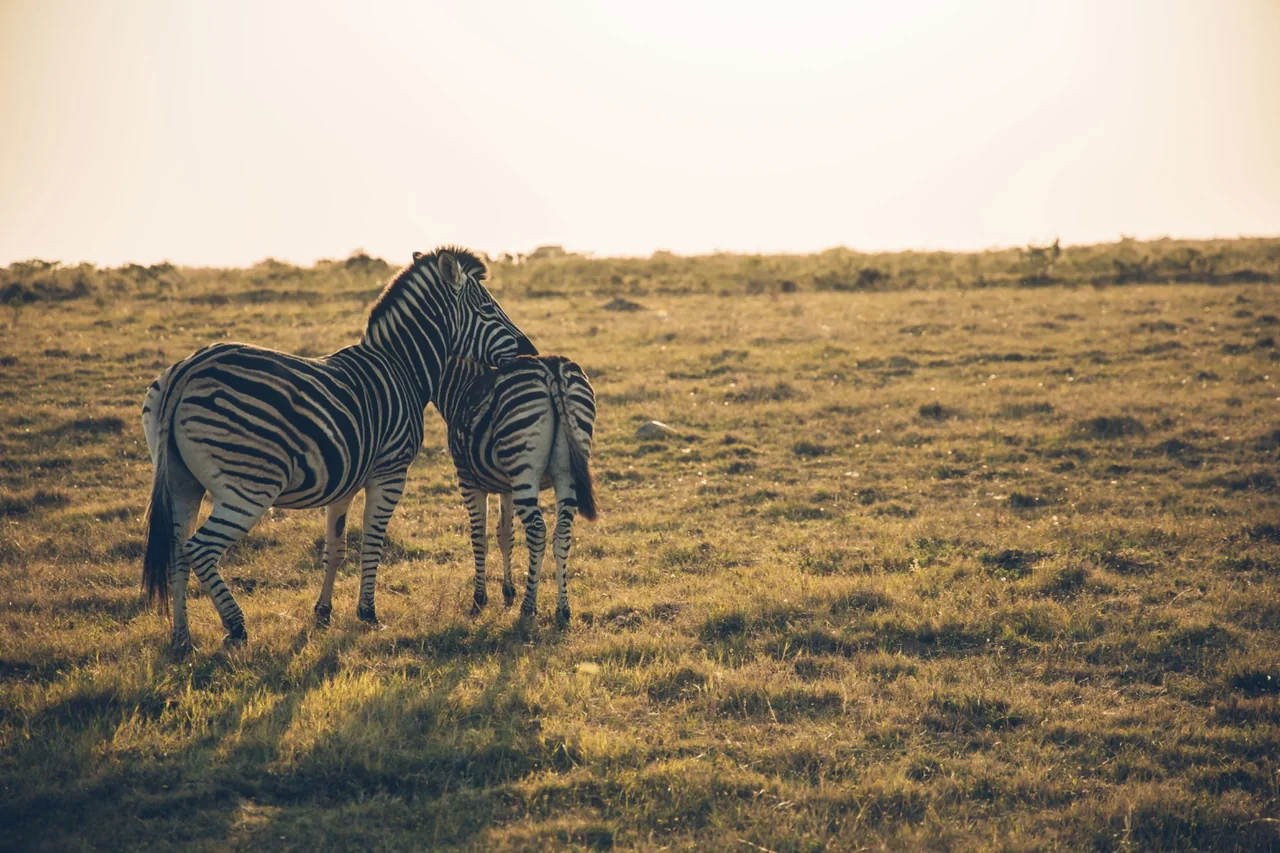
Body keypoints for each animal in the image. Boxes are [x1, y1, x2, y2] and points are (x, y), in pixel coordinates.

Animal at [140, 248, 536, 654]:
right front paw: (368, 613)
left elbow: (336, 547)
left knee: (176, 552)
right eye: (487, 308)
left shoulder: (343, 479)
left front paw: (323, 613)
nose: (530, 352)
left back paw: (183, 640)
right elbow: (372, 542)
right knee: (200, 549)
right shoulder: (390, 472)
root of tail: (188, 369)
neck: (403, 368)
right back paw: (235, 627)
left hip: (182, 482)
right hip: (248, 485)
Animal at [432, 354, 597, 625]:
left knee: (537, 530)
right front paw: (508, 592)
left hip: (524, 467)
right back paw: (562, 610)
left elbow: (479, 537)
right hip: (565, 470)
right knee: (562, 532)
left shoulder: (468, 480)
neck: (459, 386)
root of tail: (552, 368)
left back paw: (528, 607)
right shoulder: (507, 487)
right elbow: (505, 535)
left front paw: (479, 600)